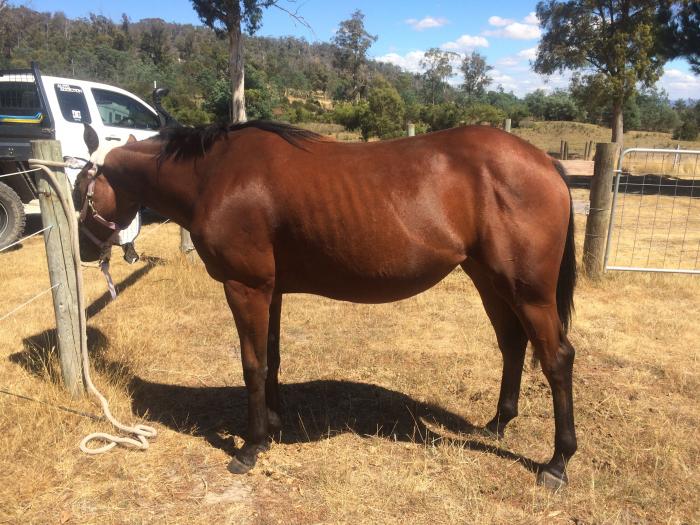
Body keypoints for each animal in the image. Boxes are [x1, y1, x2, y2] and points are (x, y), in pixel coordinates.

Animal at [74, 120, 578, 489]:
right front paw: (274, 423)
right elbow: (272, 358)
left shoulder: (245, 287)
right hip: (489, 280)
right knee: (512, 345)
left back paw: (557, 462)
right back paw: (497, 424)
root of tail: (546, 162)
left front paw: (251, 447)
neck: (214, 174)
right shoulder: (271, 289)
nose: (81, 248)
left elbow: (252, 364)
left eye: (81, 189)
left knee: (556, 358)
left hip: (528, 291)